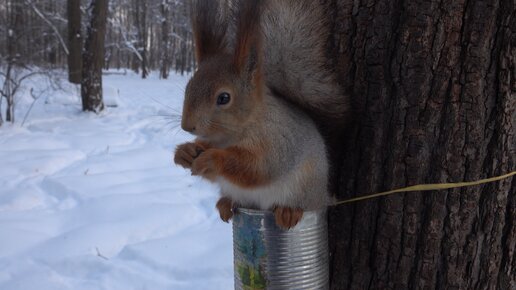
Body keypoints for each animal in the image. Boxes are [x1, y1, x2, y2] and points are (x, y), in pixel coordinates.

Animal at [174, 0, 350, 229]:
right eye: (188, 88)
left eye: (224, 98)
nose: (187, 126)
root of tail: (323, 196)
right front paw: (185, 152)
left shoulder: (278, 140)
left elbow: (259, 168)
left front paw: (212, 159)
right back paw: (226, 202)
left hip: (306, 189)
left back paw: (289, 211)